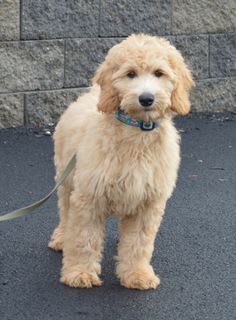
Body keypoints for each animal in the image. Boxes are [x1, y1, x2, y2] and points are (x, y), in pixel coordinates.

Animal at [48, 33, 194, 288]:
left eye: (159, 73)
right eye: (130, 74)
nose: (146, 98)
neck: (136, 133)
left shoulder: (148, 203)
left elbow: (138, 243)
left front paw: (137, 274)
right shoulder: (89, 196)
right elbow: (84, 239)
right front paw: (79, 273)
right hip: (66, 179)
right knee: (65, 212)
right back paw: (62, 237)